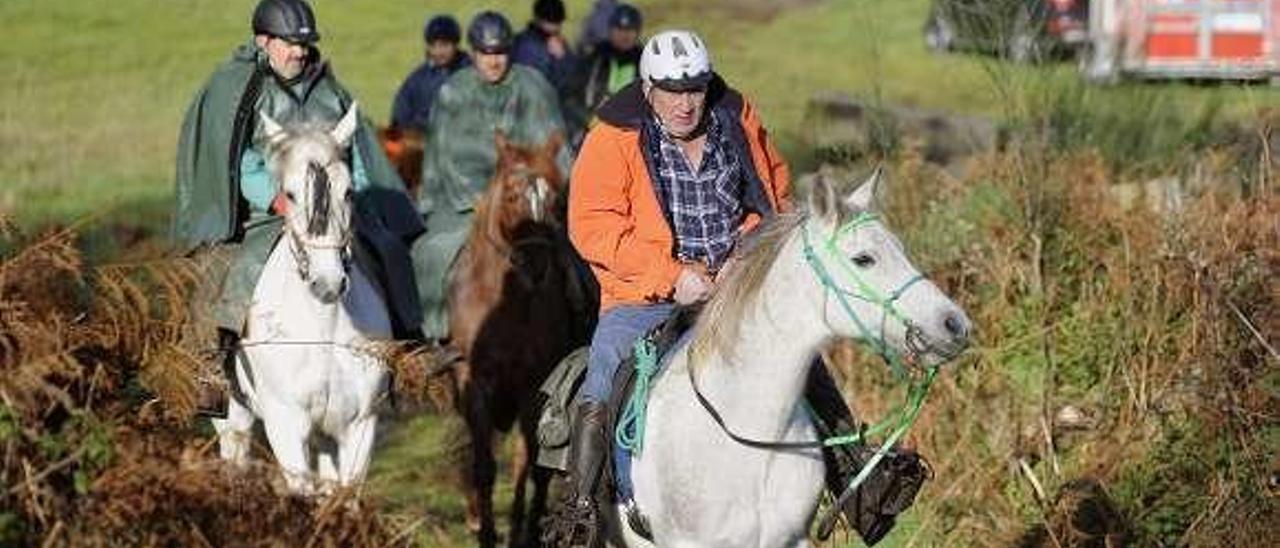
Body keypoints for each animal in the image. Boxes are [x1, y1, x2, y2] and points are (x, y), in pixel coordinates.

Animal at [212, 104, 391, 494]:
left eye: (349, 192)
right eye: (291, 194)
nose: (327, 284)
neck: (322, 328)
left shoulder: (360, 426)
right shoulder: (286, 427)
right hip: (232, 416)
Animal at [448, 132, 591, 548]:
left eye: (557, 199)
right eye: (512, 196)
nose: (537, 265)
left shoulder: (534, 386)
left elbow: (528, 466)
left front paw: (520, 531)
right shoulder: (474, 384)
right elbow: (483, 465)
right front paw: (486, 534)